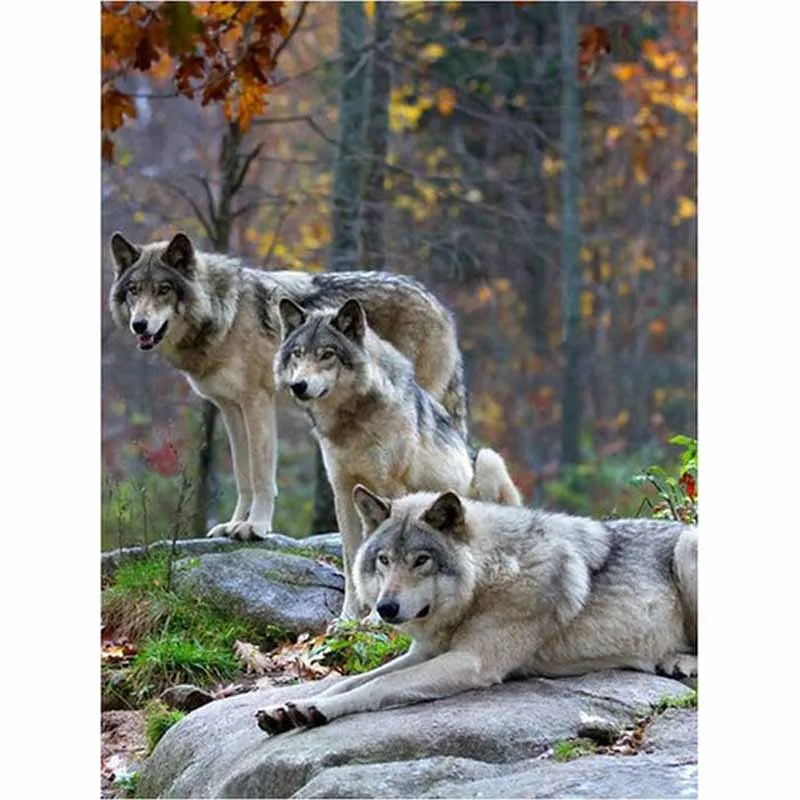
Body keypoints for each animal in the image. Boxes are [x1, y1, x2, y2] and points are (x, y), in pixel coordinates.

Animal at [108, 231, 467, 540]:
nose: (139, 324)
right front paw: (233, 524)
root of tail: (439, 304)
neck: (226, 315)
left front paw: (255, 527)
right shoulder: (230, 408)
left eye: (163, 289)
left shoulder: (257, 402)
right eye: (134, 290)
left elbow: (261, 474)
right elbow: (243, 474)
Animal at [256, 488, 697, 733]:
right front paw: (292, 708)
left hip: (687, 549)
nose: (385, 608)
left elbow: (378, 686)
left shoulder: (470, 661)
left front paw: (318, 710)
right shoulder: (425, 652)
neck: (489, 575)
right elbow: (349, 682)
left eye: (421, 561)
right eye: (384, 560)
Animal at [274, 297, 522, 618]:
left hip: (489, 460)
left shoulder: (391, 487)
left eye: (327, 354)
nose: (299, 385)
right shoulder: (342, 491)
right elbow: (352, 559)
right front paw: (348, 617)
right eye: (298, 353)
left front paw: (375, 620)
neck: (351, 422)